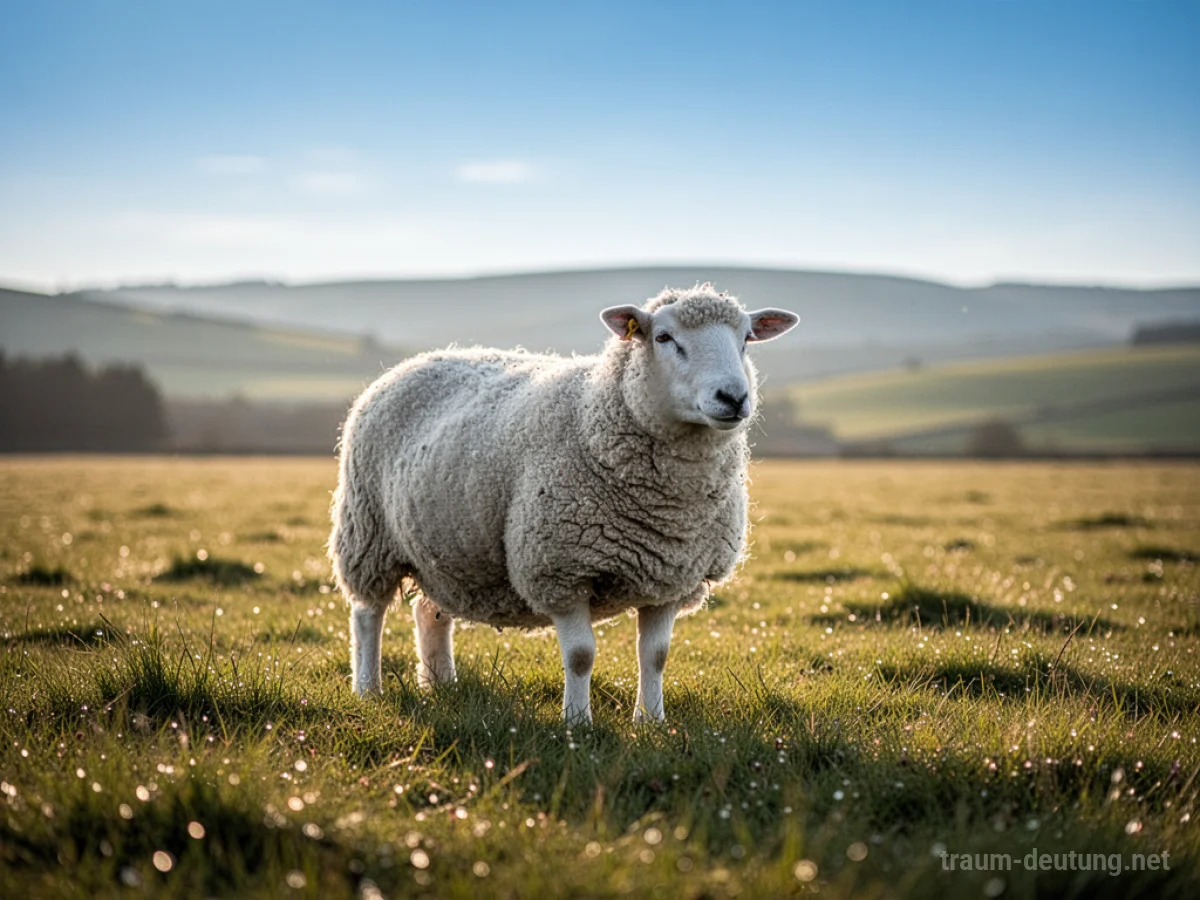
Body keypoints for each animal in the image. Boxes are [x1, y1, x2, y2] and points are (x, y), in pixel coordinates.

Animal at [328, 284, 799, 723]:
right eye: (664, 337)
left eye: (746, 339)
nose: (733, 397)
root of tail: (416, 361)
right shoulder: (561, 568)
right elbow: (581, 656)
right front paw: (577, 722)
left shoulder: (671, 575)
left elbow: (656, 655)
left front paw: (651, 721)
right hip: (368, 532)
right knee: (367, 614)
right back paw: (368, 690)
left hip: (446, 551)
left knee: (430, 611)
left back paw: (441, 683)